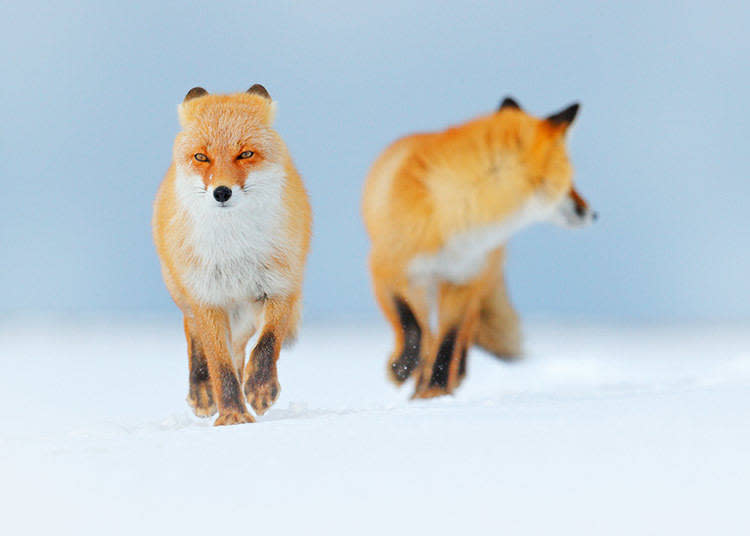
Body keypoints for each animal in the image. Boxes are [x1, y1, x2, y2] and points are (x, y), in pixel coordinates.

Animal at [153, 86, 312, 426]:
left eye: (245, 154)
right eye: (201, 157)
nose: (222, 192)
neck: (234, 249)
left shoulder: (280, 286)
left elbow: (267, 345)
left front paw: (260, 389)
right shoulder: (208, 299)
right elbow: (220, 365)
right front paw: (232, 416)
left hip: (244, 315)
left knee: (241, 350)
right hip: (190, 296)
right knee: (195, 337)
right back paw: (202, 392)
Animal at [364, 97, 600, 398]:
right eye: (570, 182)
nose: (593, 213)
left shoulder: (463, 280)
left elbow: (448, 342)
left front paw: (436, 390)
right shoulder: (386, 271)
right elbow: (410, 326)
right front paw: (403, 368)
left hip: (474, 283)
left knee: (460, 337)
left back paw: (447, 380)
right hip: (424, 286)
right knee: (425, 331)